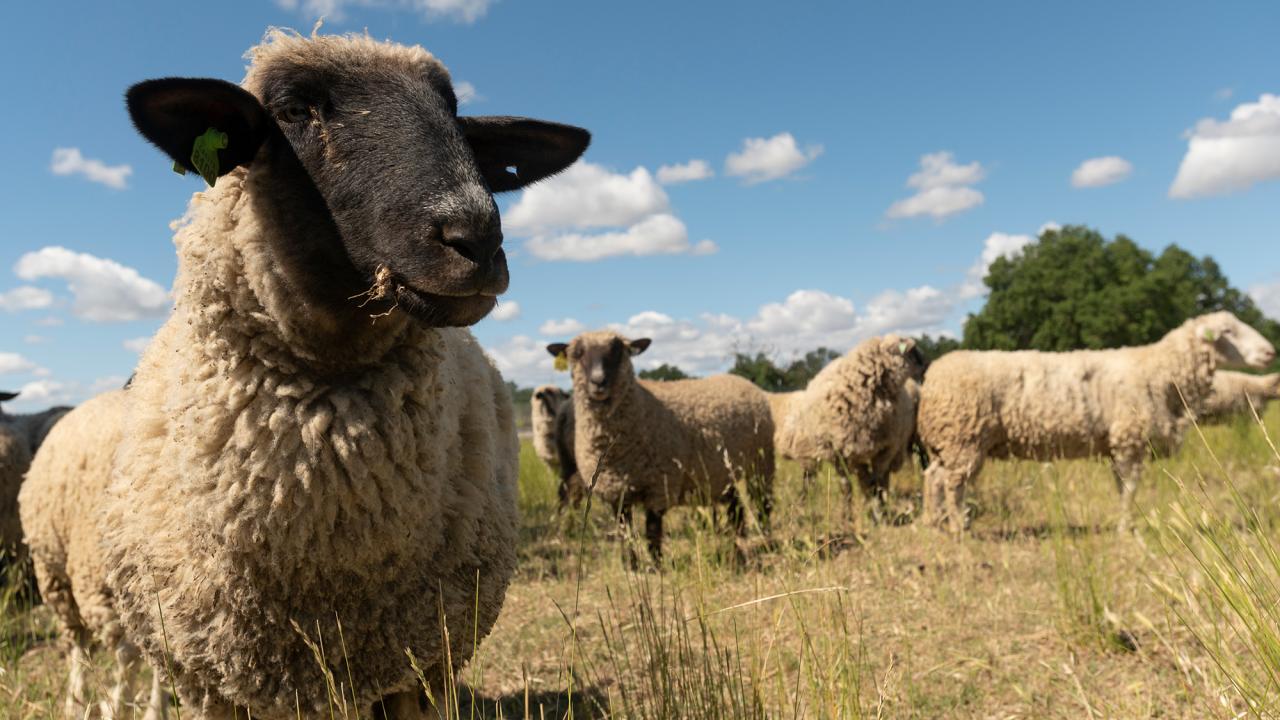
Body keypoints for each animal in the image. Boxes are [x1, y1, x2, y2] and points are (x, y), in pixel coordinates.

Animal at [19, 29, 588, 720]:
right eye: (293, 110)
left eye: (455, 114)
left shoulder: (420, 665)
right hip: (64, 581)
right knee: (87, 650)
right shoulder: (212, 677)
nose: (476, 238)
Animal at [546, 331, 774, 567]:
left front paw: (656, 565)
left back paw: (765, 538)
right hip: (721, 471)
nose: (598, 381)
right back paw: (738, 542)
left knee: (763, 501)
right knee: (736, 505)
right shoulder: (615, 492)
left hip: (761, 460)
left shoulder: (659, 485)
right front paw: (631, 565)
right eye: (577, 353)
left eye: (618, 350)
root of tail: (740, 379)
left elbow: (652, 531)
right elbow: (624, 533)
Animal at [773, 336, 926, 520]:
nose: (926, 365)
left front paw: (878, 513)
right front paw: (847, 516)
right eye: (913, 351)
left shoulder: (885, 449)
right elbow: (846, 486)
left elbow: (877, 482)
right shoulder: (839, 453)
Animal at [917, 311, 1277, 533]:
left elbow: (1121, 488)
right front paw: (1126, 528)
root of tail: (933, 376)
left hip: (948, 445)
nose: (1271, 352)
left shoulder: (1119, 445)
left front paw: (1124, 523)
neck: (1161, 370)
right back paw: (958, 527)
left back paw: (933, 523)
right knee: (952, 484)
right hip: (964, 440)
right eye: (1227, 331)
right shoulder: (1130, 440)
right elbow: (1130, 490)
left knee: (933, 478)